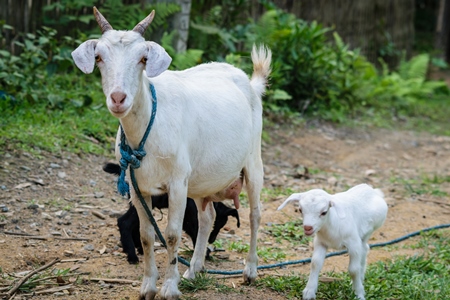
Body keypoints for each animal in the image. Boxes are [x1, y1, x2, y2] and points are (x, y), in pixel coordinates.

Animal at [71, 7, 268, 300]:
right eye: (98, 57)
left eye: (143, 58)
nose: (118, 98)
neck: (148, 128)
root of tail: (251, 84)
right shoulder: (137, 185)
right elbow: (146, 235)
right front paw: (148, 287)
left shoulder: (176, 182)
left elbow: (173, 234)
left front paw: (169, 287)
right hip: (199, 179)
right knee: (206, 218)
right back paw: (193, 270)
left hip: (253, 160)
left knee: (255, 214)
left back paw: (250, 271)